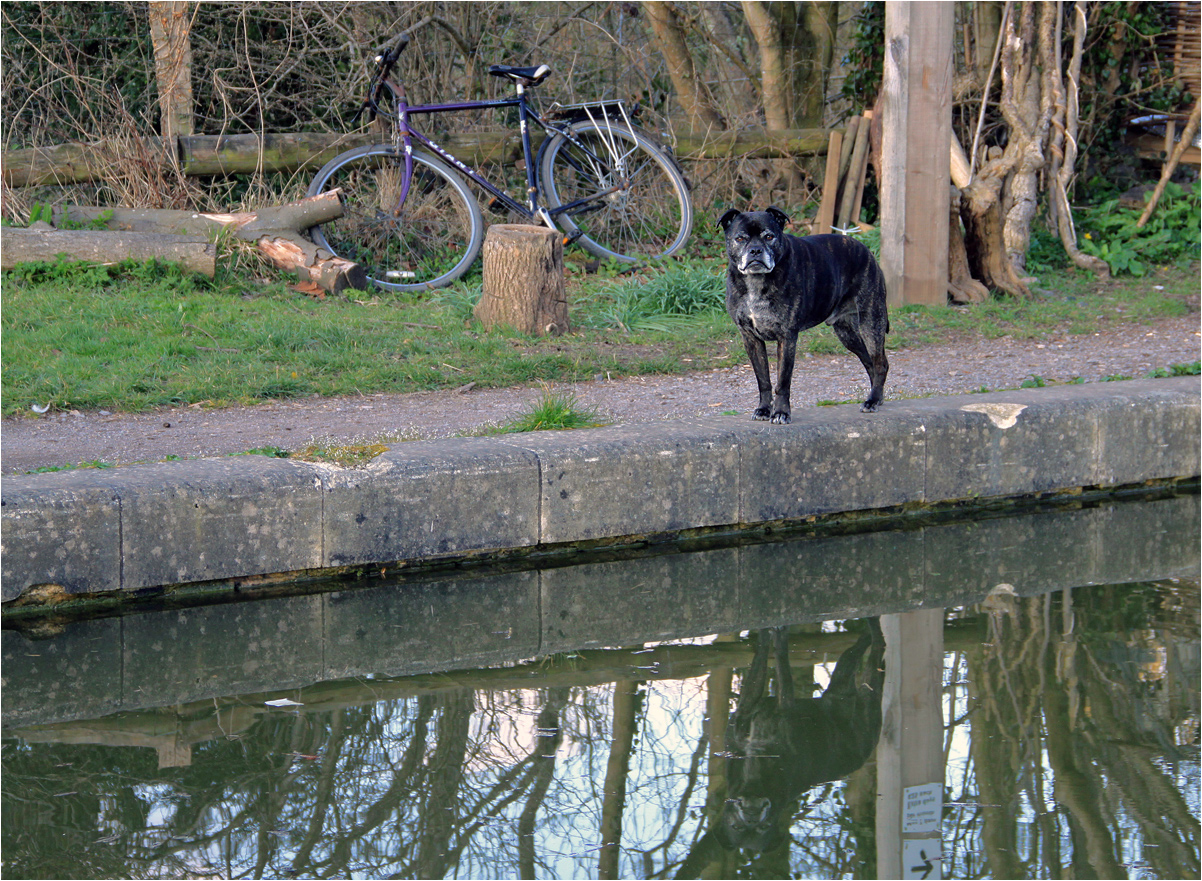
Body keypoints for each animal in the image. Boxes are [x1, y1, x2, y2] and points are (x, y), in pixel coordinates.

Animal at [716, 209, 889, 423]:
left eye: (769, 236)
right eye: (740, 238)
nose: (755, 250)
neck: (756, 282)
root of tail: (866, 250)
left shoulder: (787, 337)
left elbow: (783, 381)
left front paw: (781, 412)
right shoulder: (751, 338)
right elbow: (763, 379)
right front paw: (764, 409)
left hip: (871, 323)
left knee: (880, 363)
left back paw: (872, 400)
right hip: (847, 334)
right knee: (869, 362)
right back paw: (876, 397)